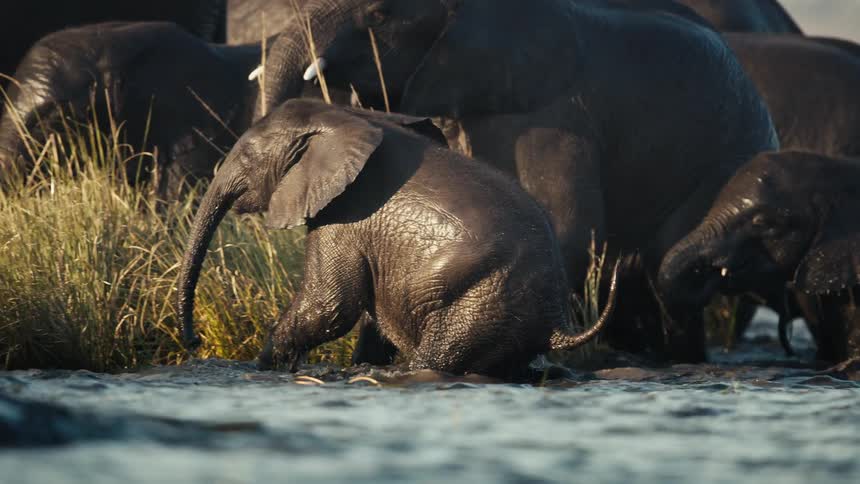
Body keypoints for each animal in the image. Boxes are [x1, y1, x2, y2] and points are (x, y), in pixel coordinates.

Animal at [177, 99, 618, 378]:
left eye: (247, 156)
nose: (195, 341)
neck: (344, 116)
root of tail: (557, 321)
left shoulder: (344, 214)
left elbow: (329, 307)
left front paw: (260, 368)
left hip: (482, 303)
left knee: (437, 357)